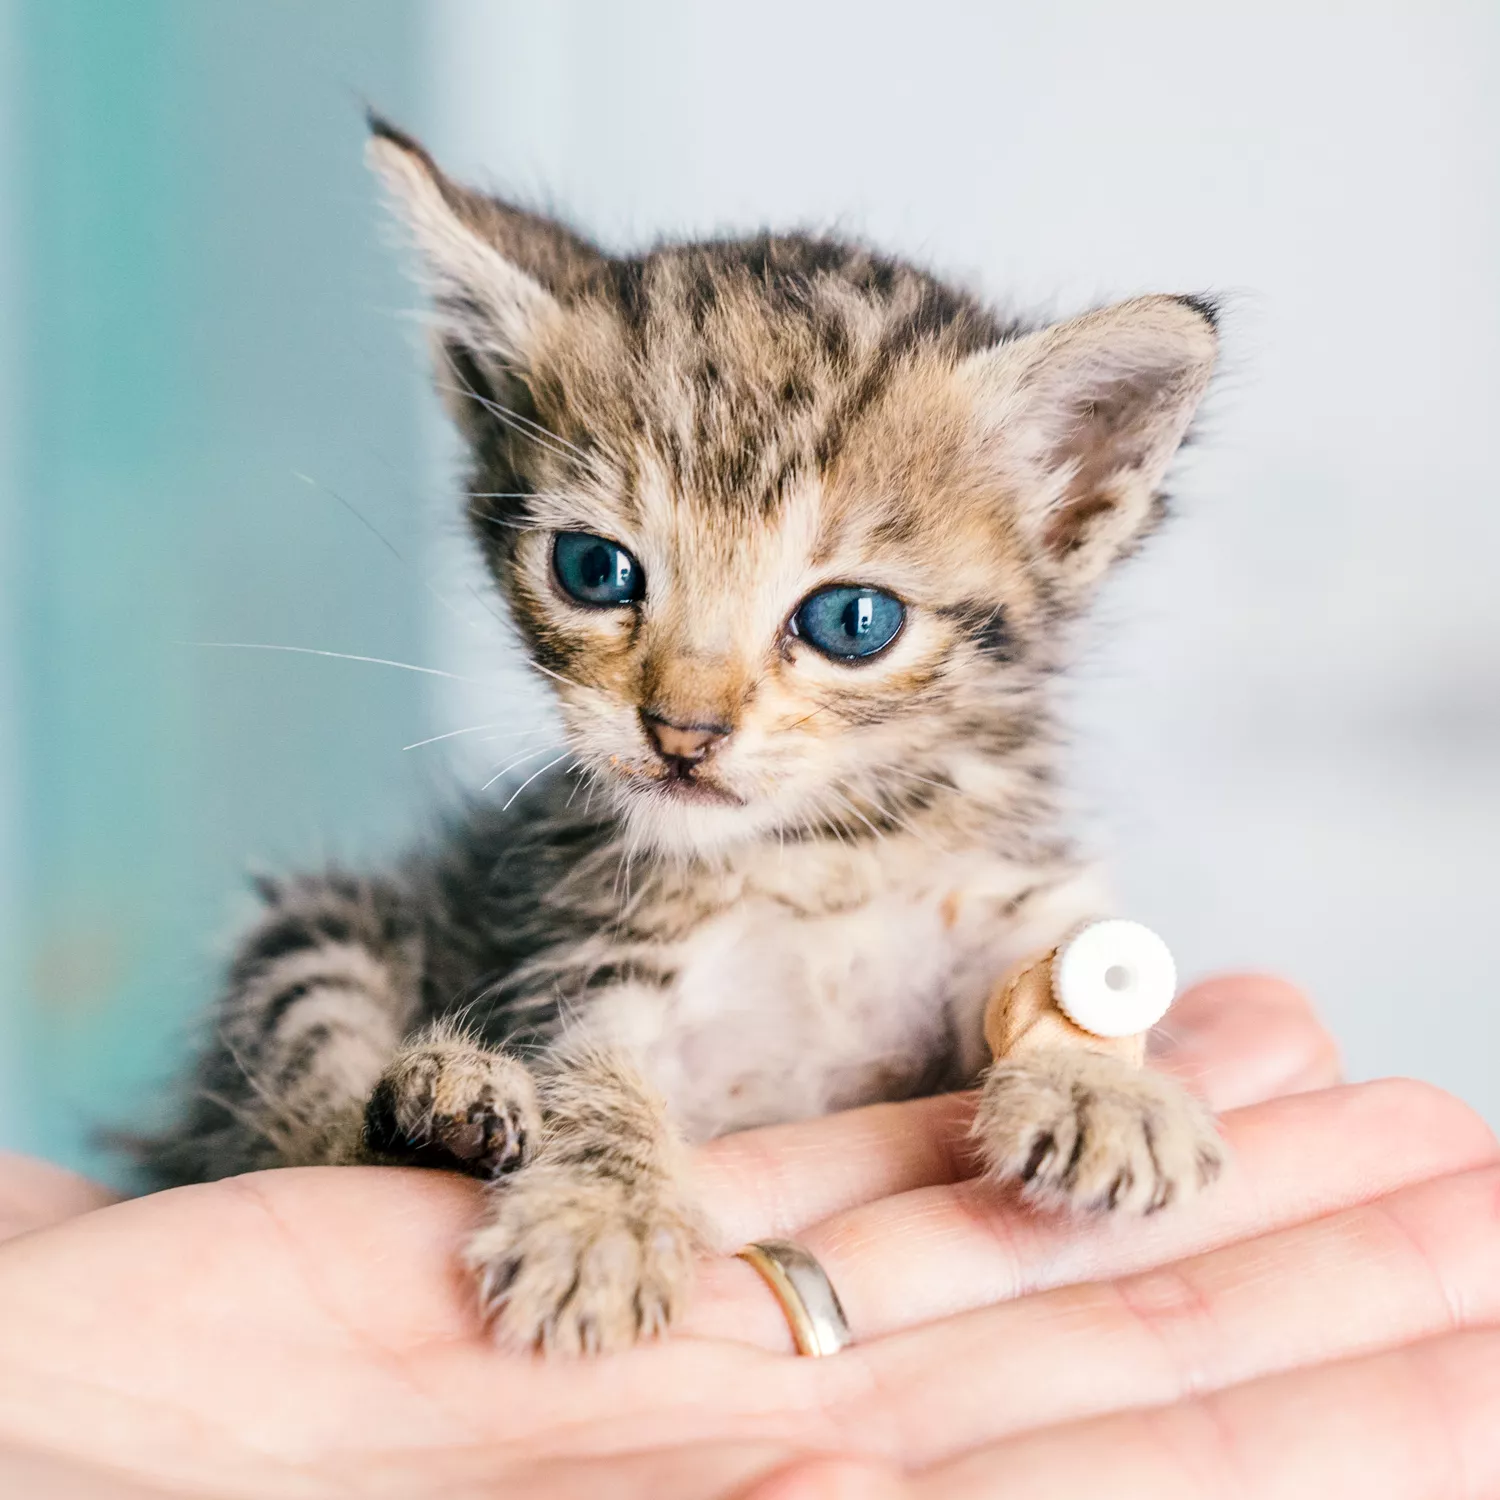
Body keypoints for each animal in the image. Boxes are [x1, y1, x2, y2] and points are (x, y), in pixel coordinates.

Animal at [135, 117, 1224, 1356]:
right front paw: (599, 1219)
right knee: (282, 1131)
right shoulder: (584, 964)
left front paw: (1104, 1094)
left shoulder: (997, 894)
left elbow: (1069, 979)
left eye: (853, 622)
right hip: (314, 934)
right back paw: (439, 1104)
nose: (681, 732)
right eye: (593, 569)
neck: (810, 859)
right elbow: (593, 1083)